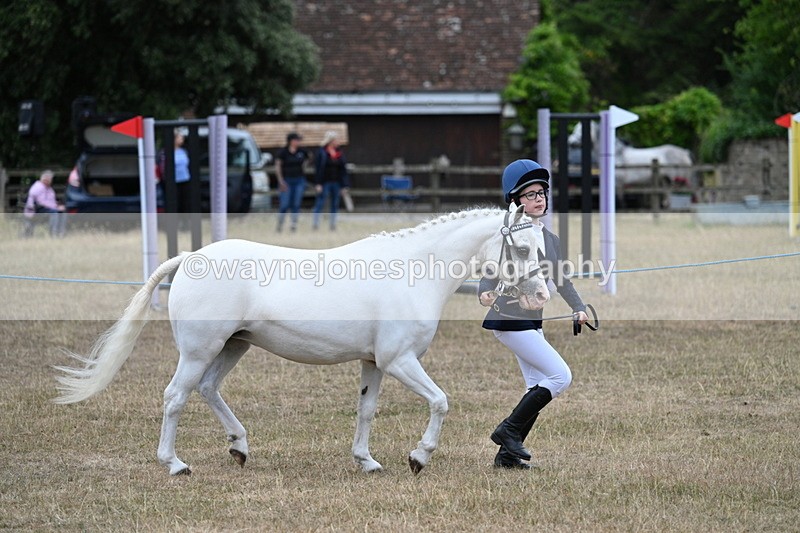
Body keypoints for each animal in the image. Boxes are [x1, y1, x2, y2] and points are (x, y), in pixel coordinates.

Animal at [54, 206, 550, 476]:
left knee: (208, 389)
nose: (541, 295)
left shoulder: (374, 363)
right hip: (199, 350)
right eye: (523, 249)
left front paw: (366, 461)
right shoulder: (399, 360)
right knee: (176, 396)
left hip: (234, 345)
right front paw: (418, 457)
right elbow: (441, 401)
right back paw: (175, 464)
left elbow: (366, 410)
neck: (412, 271)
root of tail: (191, 257)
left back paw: (239, 447)